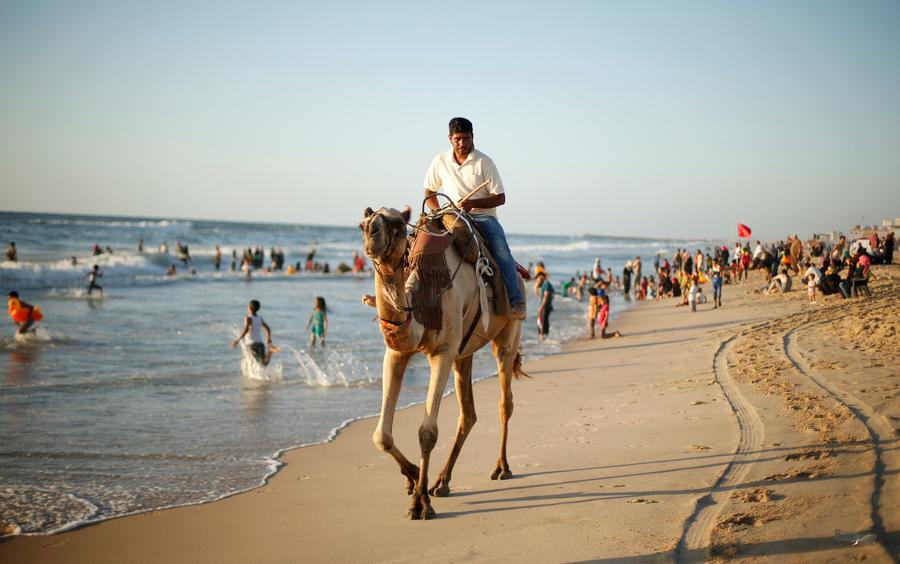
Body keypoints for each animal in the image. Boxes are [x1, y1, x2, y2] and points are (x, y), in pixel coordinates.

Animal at [360, 206, 528, 520]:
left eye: (399, 225)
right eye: (361, 225)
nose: (372, 234)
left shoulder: (444, 352)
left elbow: (427, 432)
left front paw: (420, 504)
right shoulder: (397, 353)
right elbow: (381, 435)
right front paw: (413, 477)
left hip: (508, 332)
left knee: (505, 402)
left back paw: (501, 467)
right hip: (464, 354)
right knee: (469, 414)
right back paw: (442, 482)